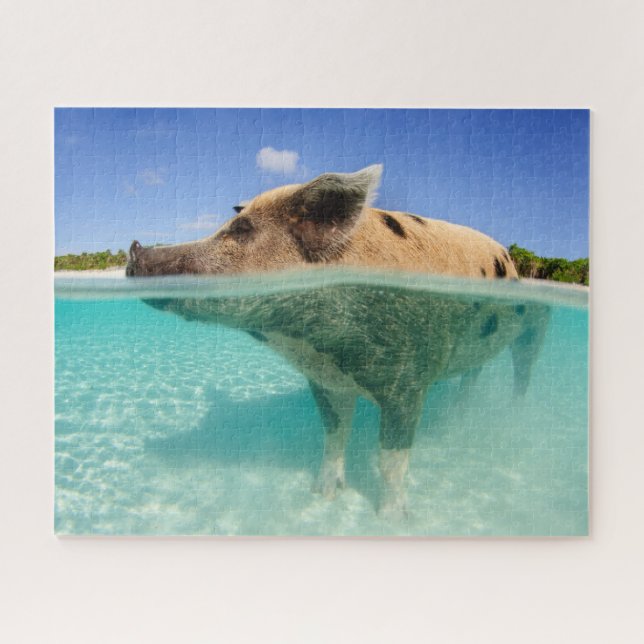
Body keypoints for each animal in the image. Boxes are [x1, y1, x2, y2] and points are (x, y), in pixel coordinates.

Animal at [127, 165, 549, 518]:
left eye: (241, 229)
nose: (135, 248)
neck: (316, 344)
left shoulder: (409, 381)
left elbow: (391, 459)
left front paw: (392, 518)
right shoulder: (325, 380)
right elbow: (333, 434)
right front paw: (323, 494)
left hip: (536, 322)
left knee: (523, 368)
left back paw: (515, 416)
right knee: (473, 373)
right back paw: (461, 414)